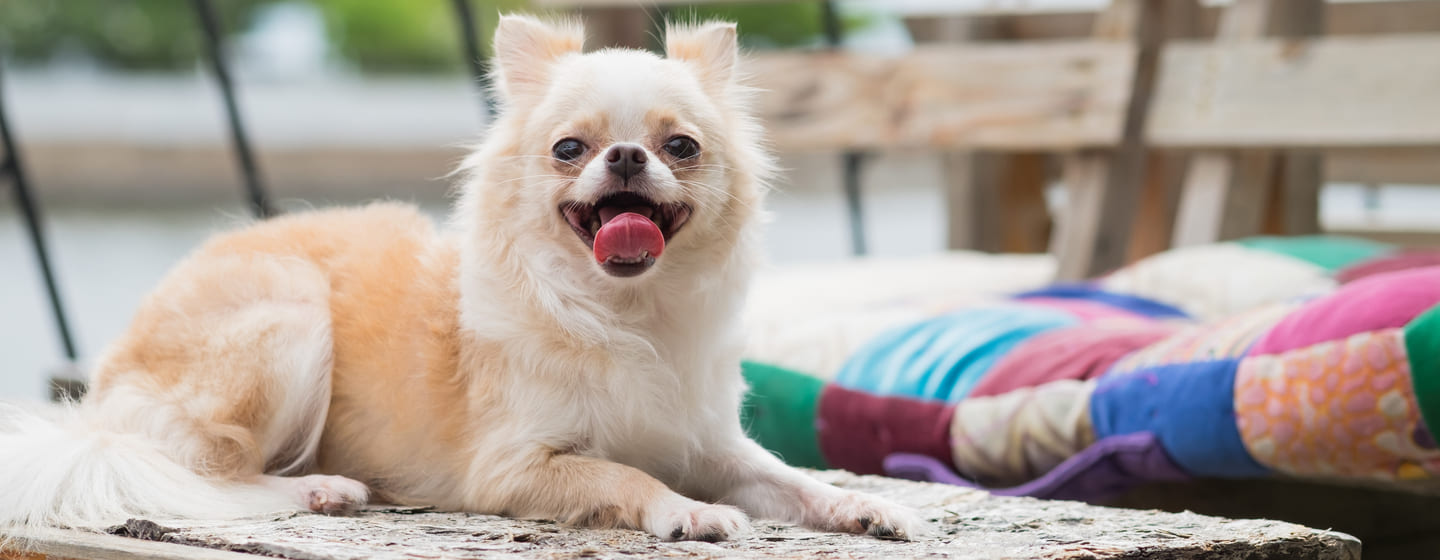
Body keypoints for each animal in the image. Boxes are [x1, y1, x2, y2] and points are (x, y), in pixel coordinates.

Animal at [0, 15, 915, 541]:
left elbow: (784, 476)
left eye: (681, 147)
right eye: (569, 148)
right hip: (290, 321)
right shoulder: (512, 470)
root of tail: (103, 393)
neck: (626, 310)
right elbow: (623, 474)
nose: (627, 155)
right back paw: (323, 488)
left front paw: (856, 504)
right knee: (200, 474)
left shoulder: (712, 442)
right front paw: (687, 511)